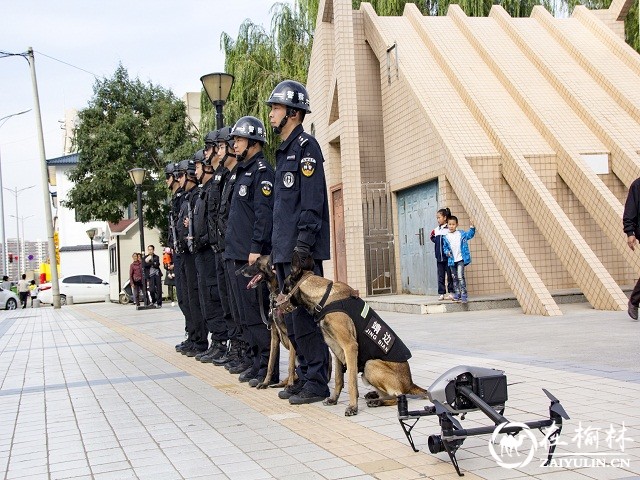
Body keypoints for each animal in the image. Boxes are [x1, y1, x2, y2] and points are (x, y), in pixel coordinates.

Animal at [242, 256, 298, 388]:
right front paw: (265, 382)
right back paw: (279, 383)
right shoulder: (274, 336)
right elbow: (270, 363)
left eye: (257, 262)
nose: (241, 271)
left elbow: (290, 364)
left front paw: (290, 384)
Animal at [282, 253, 428, 414]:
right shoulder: (337, 350)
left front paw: (352, 406)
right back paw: (374, 396)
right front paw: (334, 399)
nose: (274, 302)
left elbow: (351, 381)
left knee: (398, 396)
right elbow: (339, 379)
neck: (324, 298)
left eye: (284, 286)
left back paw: (377, 401)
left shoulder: (350, 346)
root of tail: (410, 383)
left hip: (371, 365)